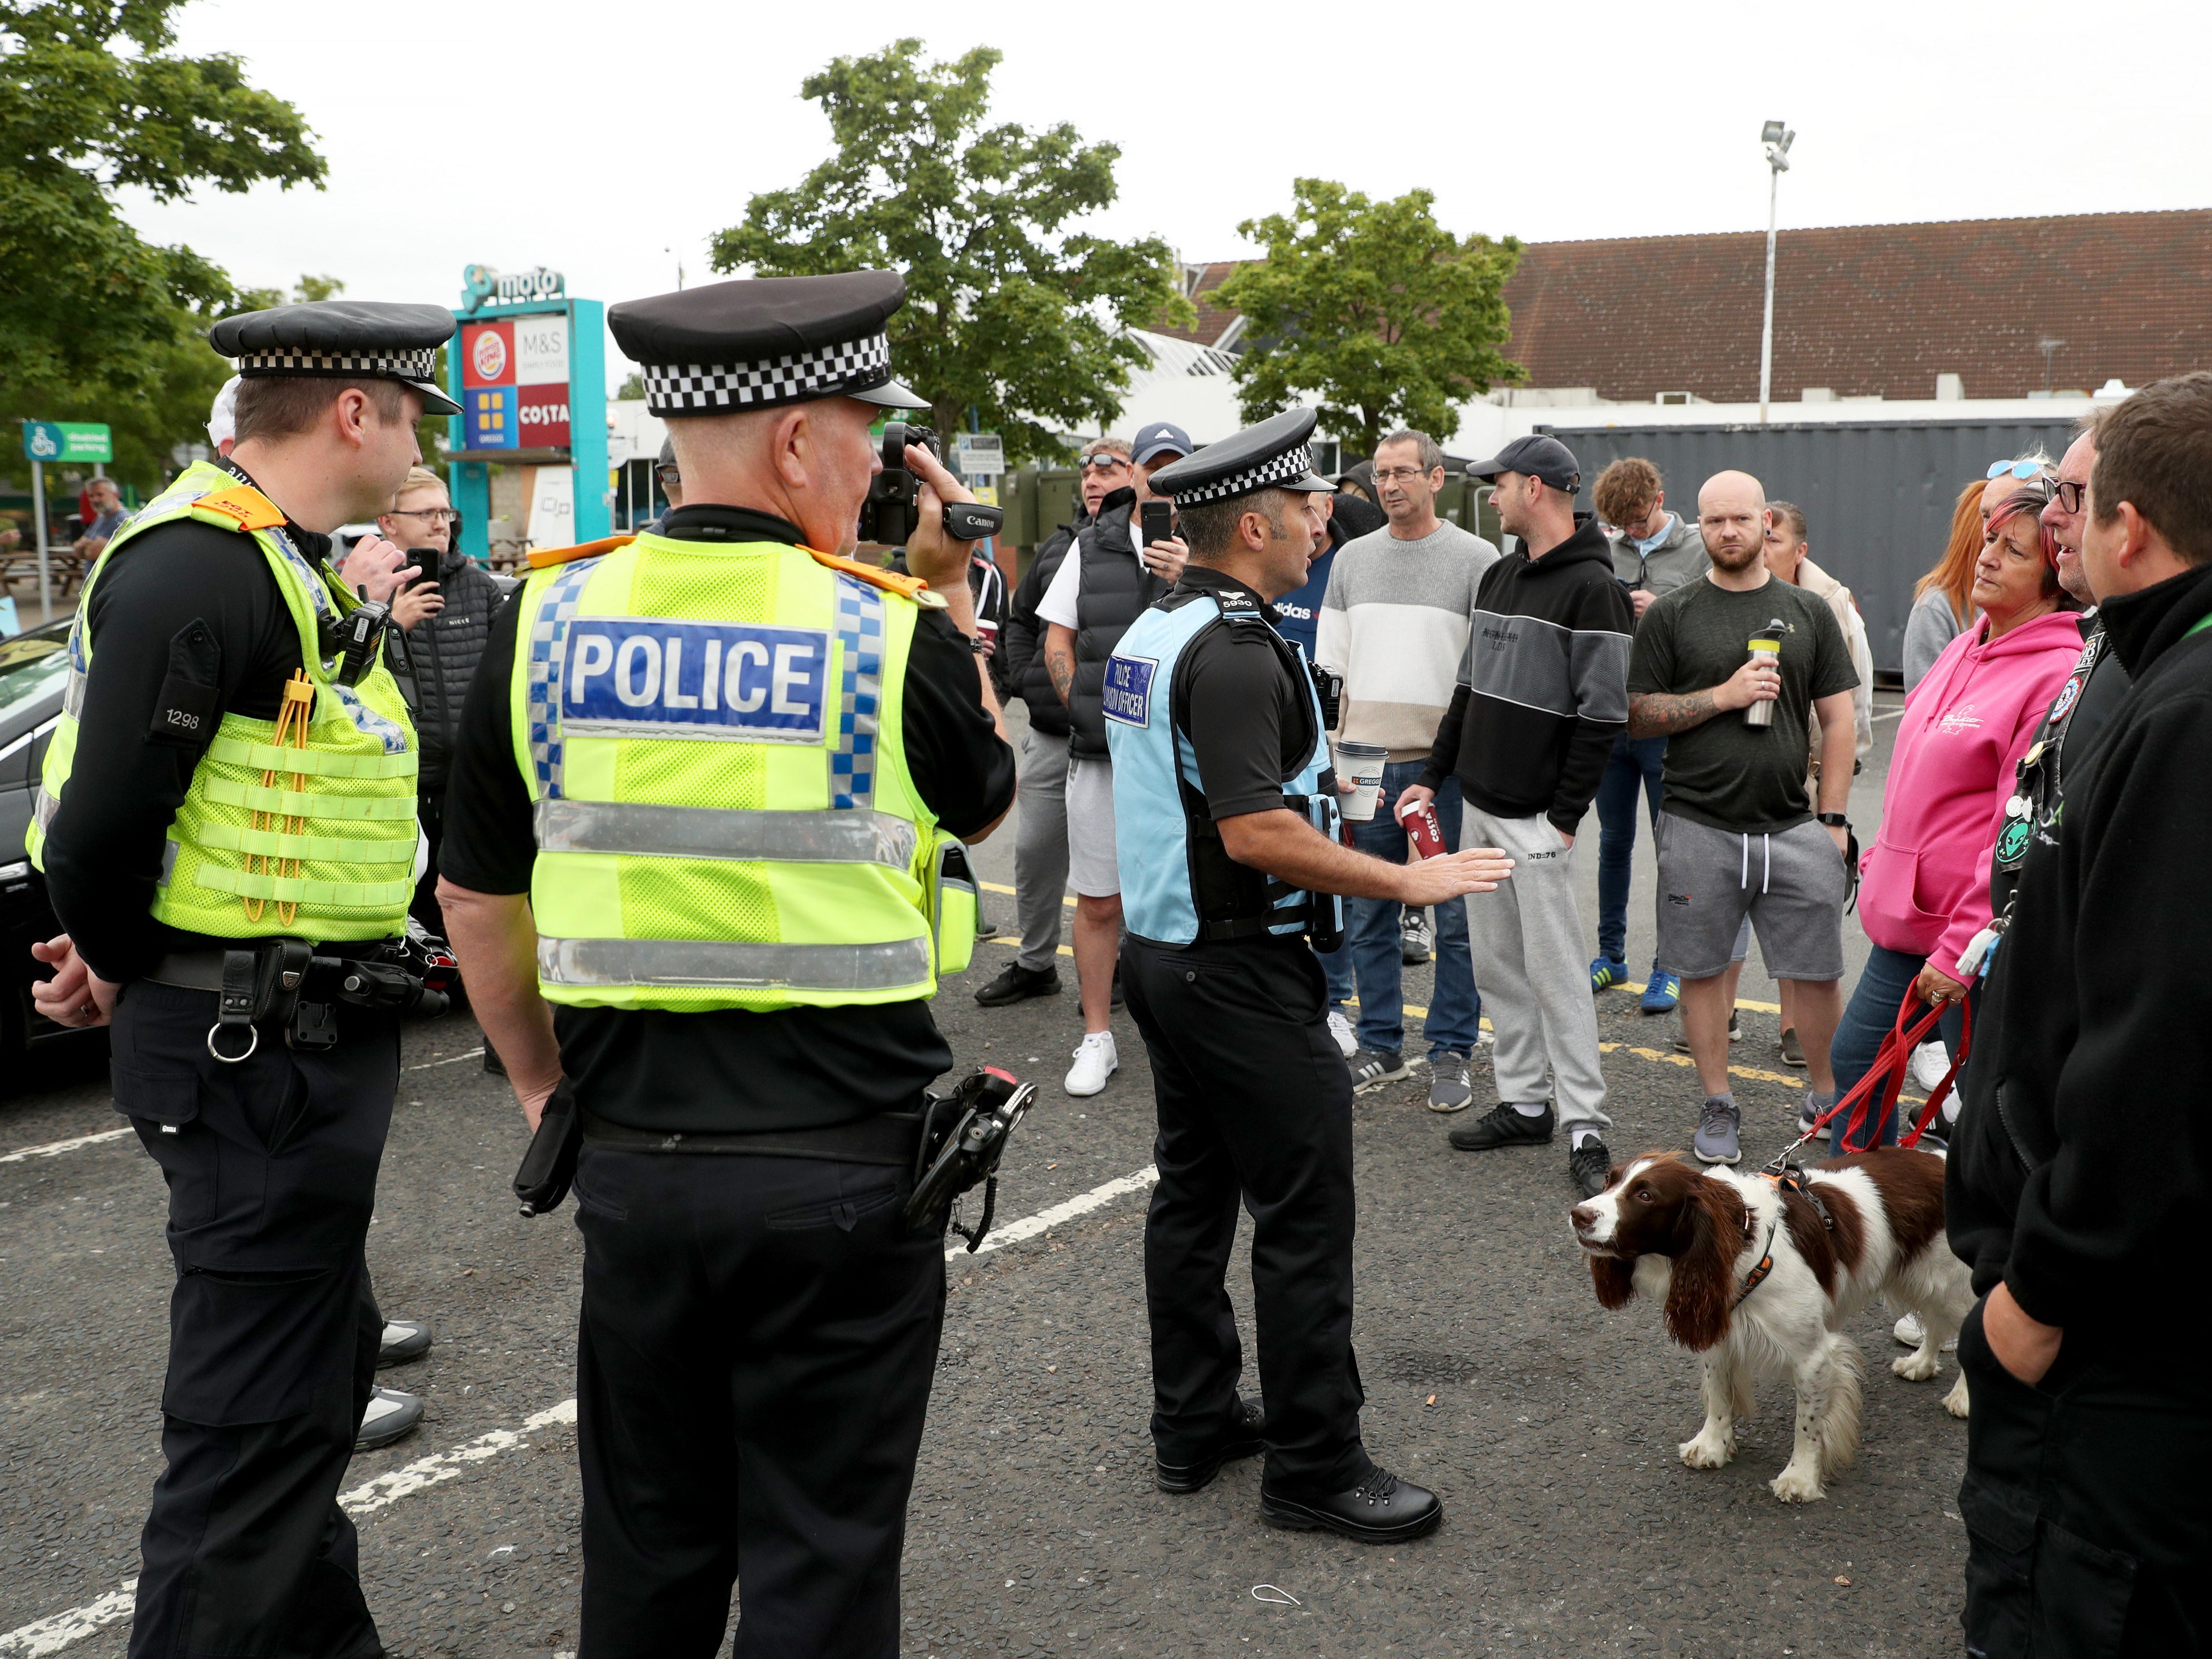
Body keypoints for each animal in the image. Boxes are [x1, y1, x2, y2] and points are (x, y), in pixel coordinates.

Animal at [1575, 1159, 1973, 1504]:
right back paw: (1921, 1364)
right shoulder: (1718, 1332)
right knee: (1936, 1324)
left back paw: (1964, 1397)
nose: (1578, 1214)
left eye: (1645, 1195)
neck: (1742, 1251)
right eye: (1609, 1180)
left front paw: (1800, 1478)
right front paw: (1712, 1445)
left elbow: (1807, 1424)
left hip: (1948, 1281)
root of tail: (1939, 1160)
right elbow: (1719, 1395)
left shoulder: (1813, 1357)